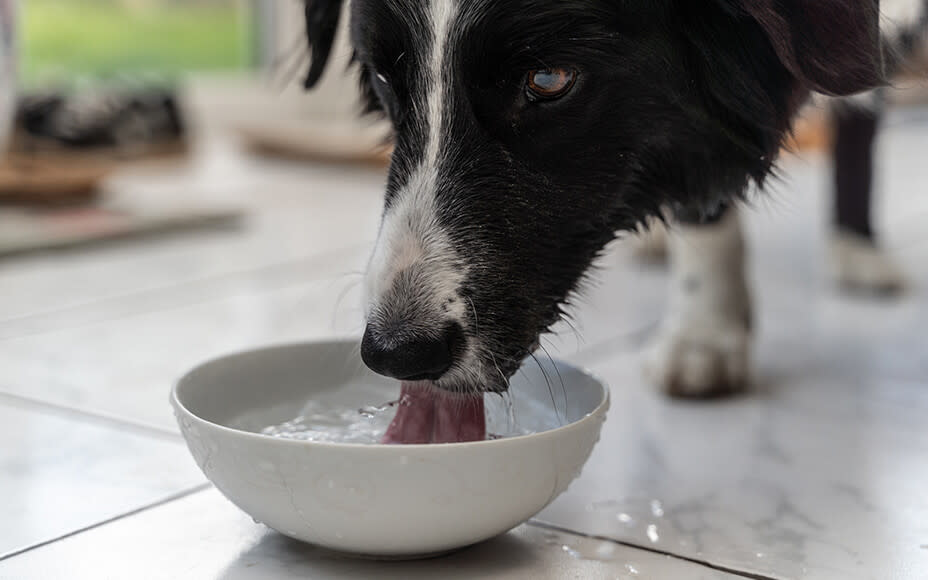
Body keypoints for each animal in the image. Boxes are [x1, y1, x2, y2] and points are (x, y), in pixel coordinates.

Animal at [300, 0, 924, 438]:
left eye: (548, 80)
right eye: (384, 78)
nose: (396, 354)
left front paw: (705, 331)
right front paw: (704, 332)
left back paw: (856, 247)